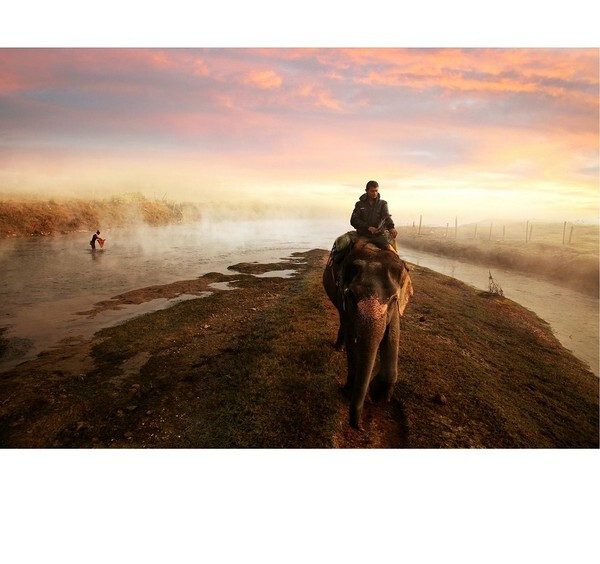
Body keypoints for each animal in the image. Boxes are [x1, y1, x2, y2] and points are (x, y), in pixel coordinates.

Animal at [324, 236, 412, 430]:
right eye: (351, 296)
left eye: (394, 298)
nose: (360, 426)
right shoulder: (342, 295)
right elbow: (351, 335)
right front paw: (350, 392)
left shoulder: (395, 308)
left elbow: (393, 332)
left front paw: (379, 395)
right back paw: (339, 348)